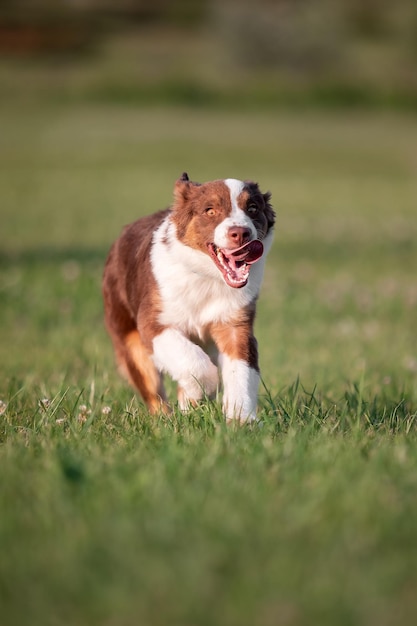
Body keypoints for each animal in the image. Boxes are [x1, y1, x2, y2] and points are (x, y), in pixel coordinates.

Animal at [102, 173, 274, 422]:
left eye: (252, 208)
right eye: (210, 211)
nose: (241, 233)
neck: (206, 277)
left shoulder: (235, 323)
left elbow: (242, 371)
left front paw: (240, 420)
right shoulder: (153, 323)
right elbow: (194, 364)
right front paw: (204, 391)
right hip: (129, 339)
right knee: (154, 394)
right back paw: (166, 420)